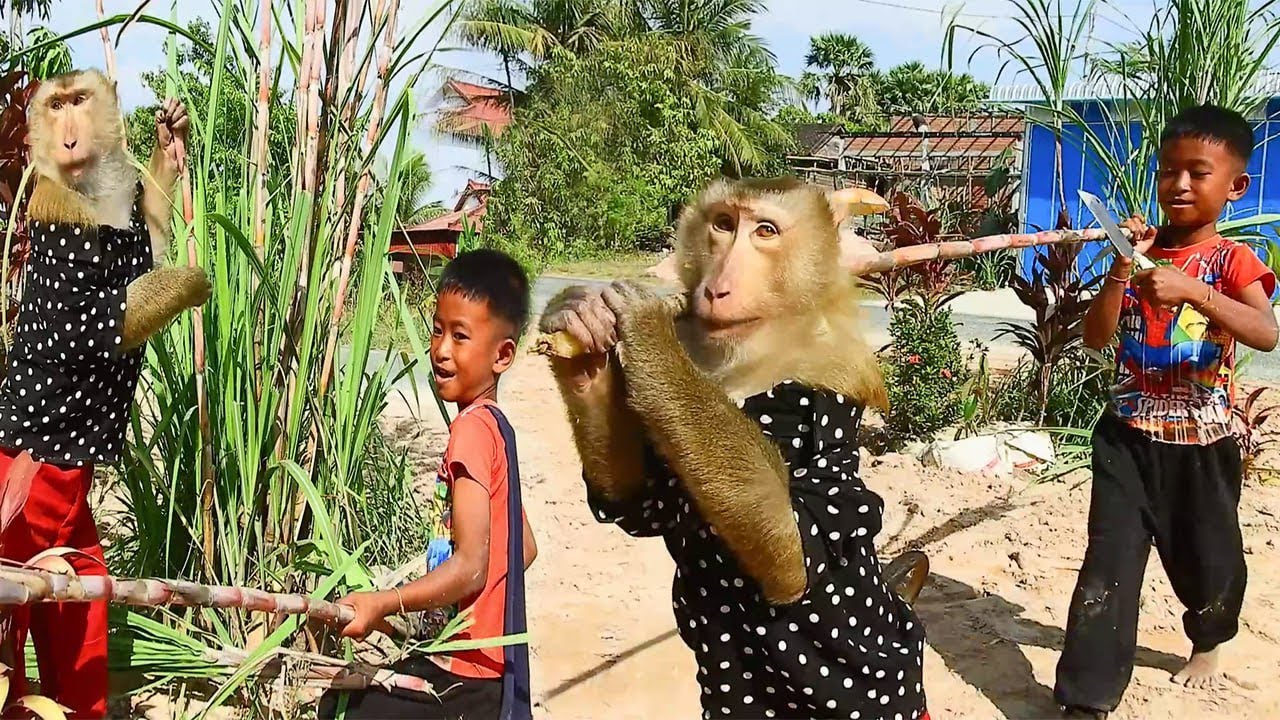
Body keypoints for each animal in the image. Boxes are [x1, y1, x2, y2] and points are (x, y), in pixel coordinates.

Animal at [0, 68, 210, 718]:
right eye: (55, 106)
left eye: (79, 101)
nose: (69, 135)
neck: (88, 185)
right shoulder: (65, 225)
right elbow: (102, 321)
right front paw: (193, 281)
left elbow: (151, 240)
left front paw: (168, 142)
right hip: (19, 505)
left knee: (76, 595)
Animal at [539, 176, 932, 720]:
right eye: (724, 224)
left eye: (765, 231)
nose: (715, 287)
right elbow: (641, 504)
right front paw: (578, 323)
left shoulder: (829, 381)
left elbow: (795, 551)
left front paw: (645, 322)